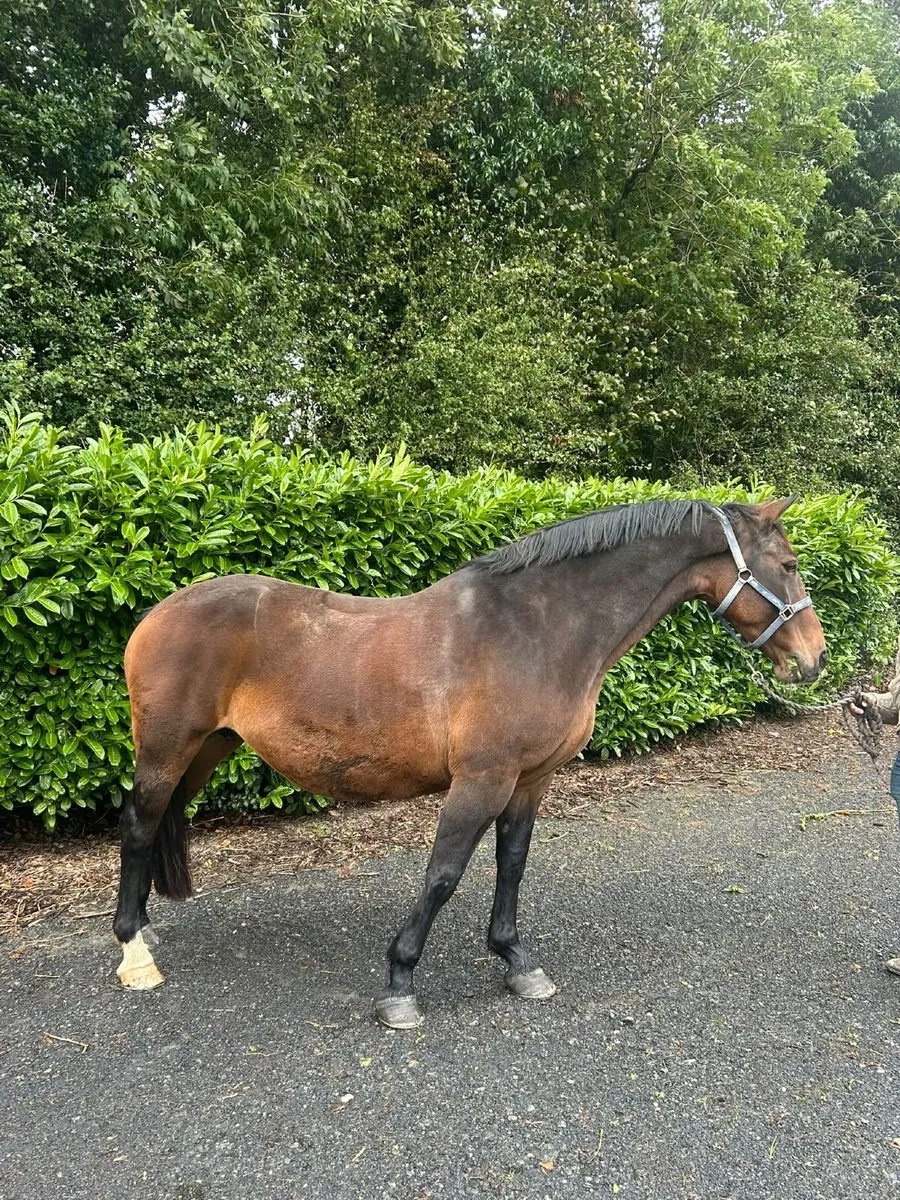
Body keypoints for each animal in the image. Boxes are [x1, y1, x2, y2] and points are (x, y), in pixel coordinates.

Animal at [113, 496, 826, 1028]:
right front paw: (400, 982)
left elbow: (511, 865)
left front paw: (516, 963)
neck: (535, 629)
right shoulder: (482, 779)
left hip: (207, 750)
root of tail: (157, 613)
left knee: (155, 825)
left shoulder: (529, 781)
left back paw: (144, 930)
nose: (814, 658)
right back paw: (133, 953)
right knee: (139, 826)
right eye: (789, 564)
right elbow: (444, 874)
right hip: (168, 748)